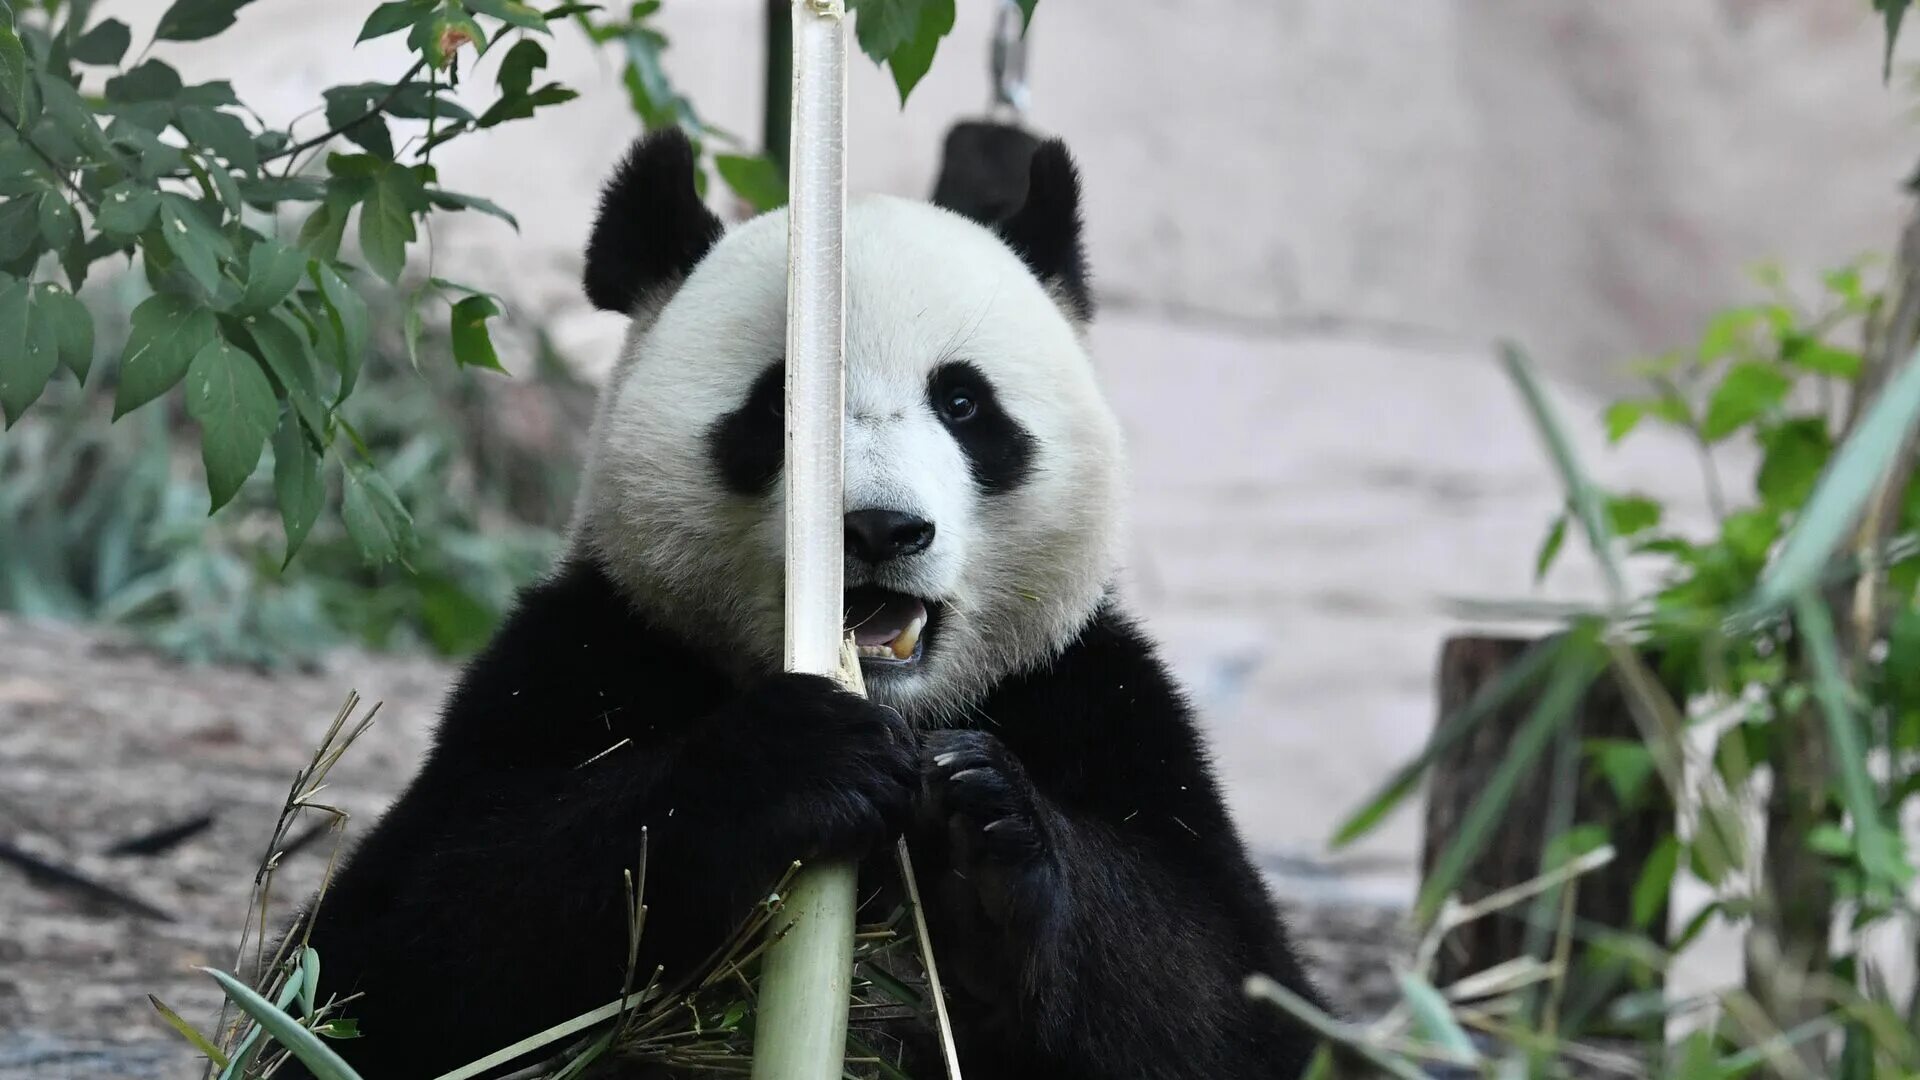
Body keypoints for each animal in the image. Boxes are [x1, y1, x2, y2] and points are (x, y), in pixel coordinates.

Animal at [295, 127, 1320, 1076]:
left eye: (963, 403)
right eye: (778, 403)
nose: (878, 529)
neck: (902, 710)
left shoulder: (1097, 701)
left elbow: (1232, 994)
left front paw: (986, 818)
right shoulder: (583, 658)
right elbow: (394, 951)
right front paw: (797, 759)